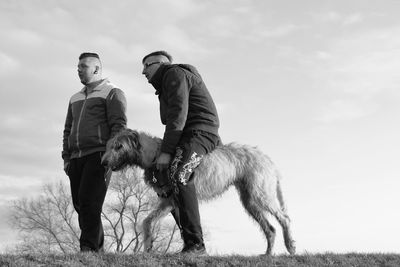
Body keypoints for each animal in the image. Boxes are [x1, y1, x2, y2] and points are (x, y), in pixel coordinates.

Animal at [102, 129, 296, 256]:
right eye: (110, 145)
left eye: (119, 146)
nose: (103, 162)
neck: (156, 154)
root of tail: (268, 160)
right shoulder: (169, 202)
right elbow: (150, 222)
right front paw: (149, 248)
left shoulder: (173, 200)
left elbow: (152, 221)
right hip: (249, 200)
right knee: (270, 228)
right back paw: (268, 254)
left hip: (261, 194)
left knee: (285, 218)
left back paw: (290, 246)